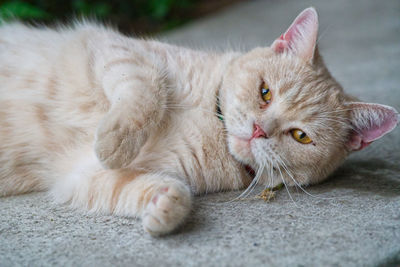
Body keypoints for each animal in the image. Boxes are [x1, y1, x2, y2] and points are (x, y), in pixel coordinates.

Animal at [0, 6, 396, 237]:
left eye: (300, 136)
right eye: (265, 92)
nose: (258, 130)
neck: (212, 124)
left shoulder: (78, 176)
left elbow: (152, 189)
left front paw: (164, 206)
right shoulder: (119, 50)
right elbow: (148, 90)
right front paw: (115, 140)